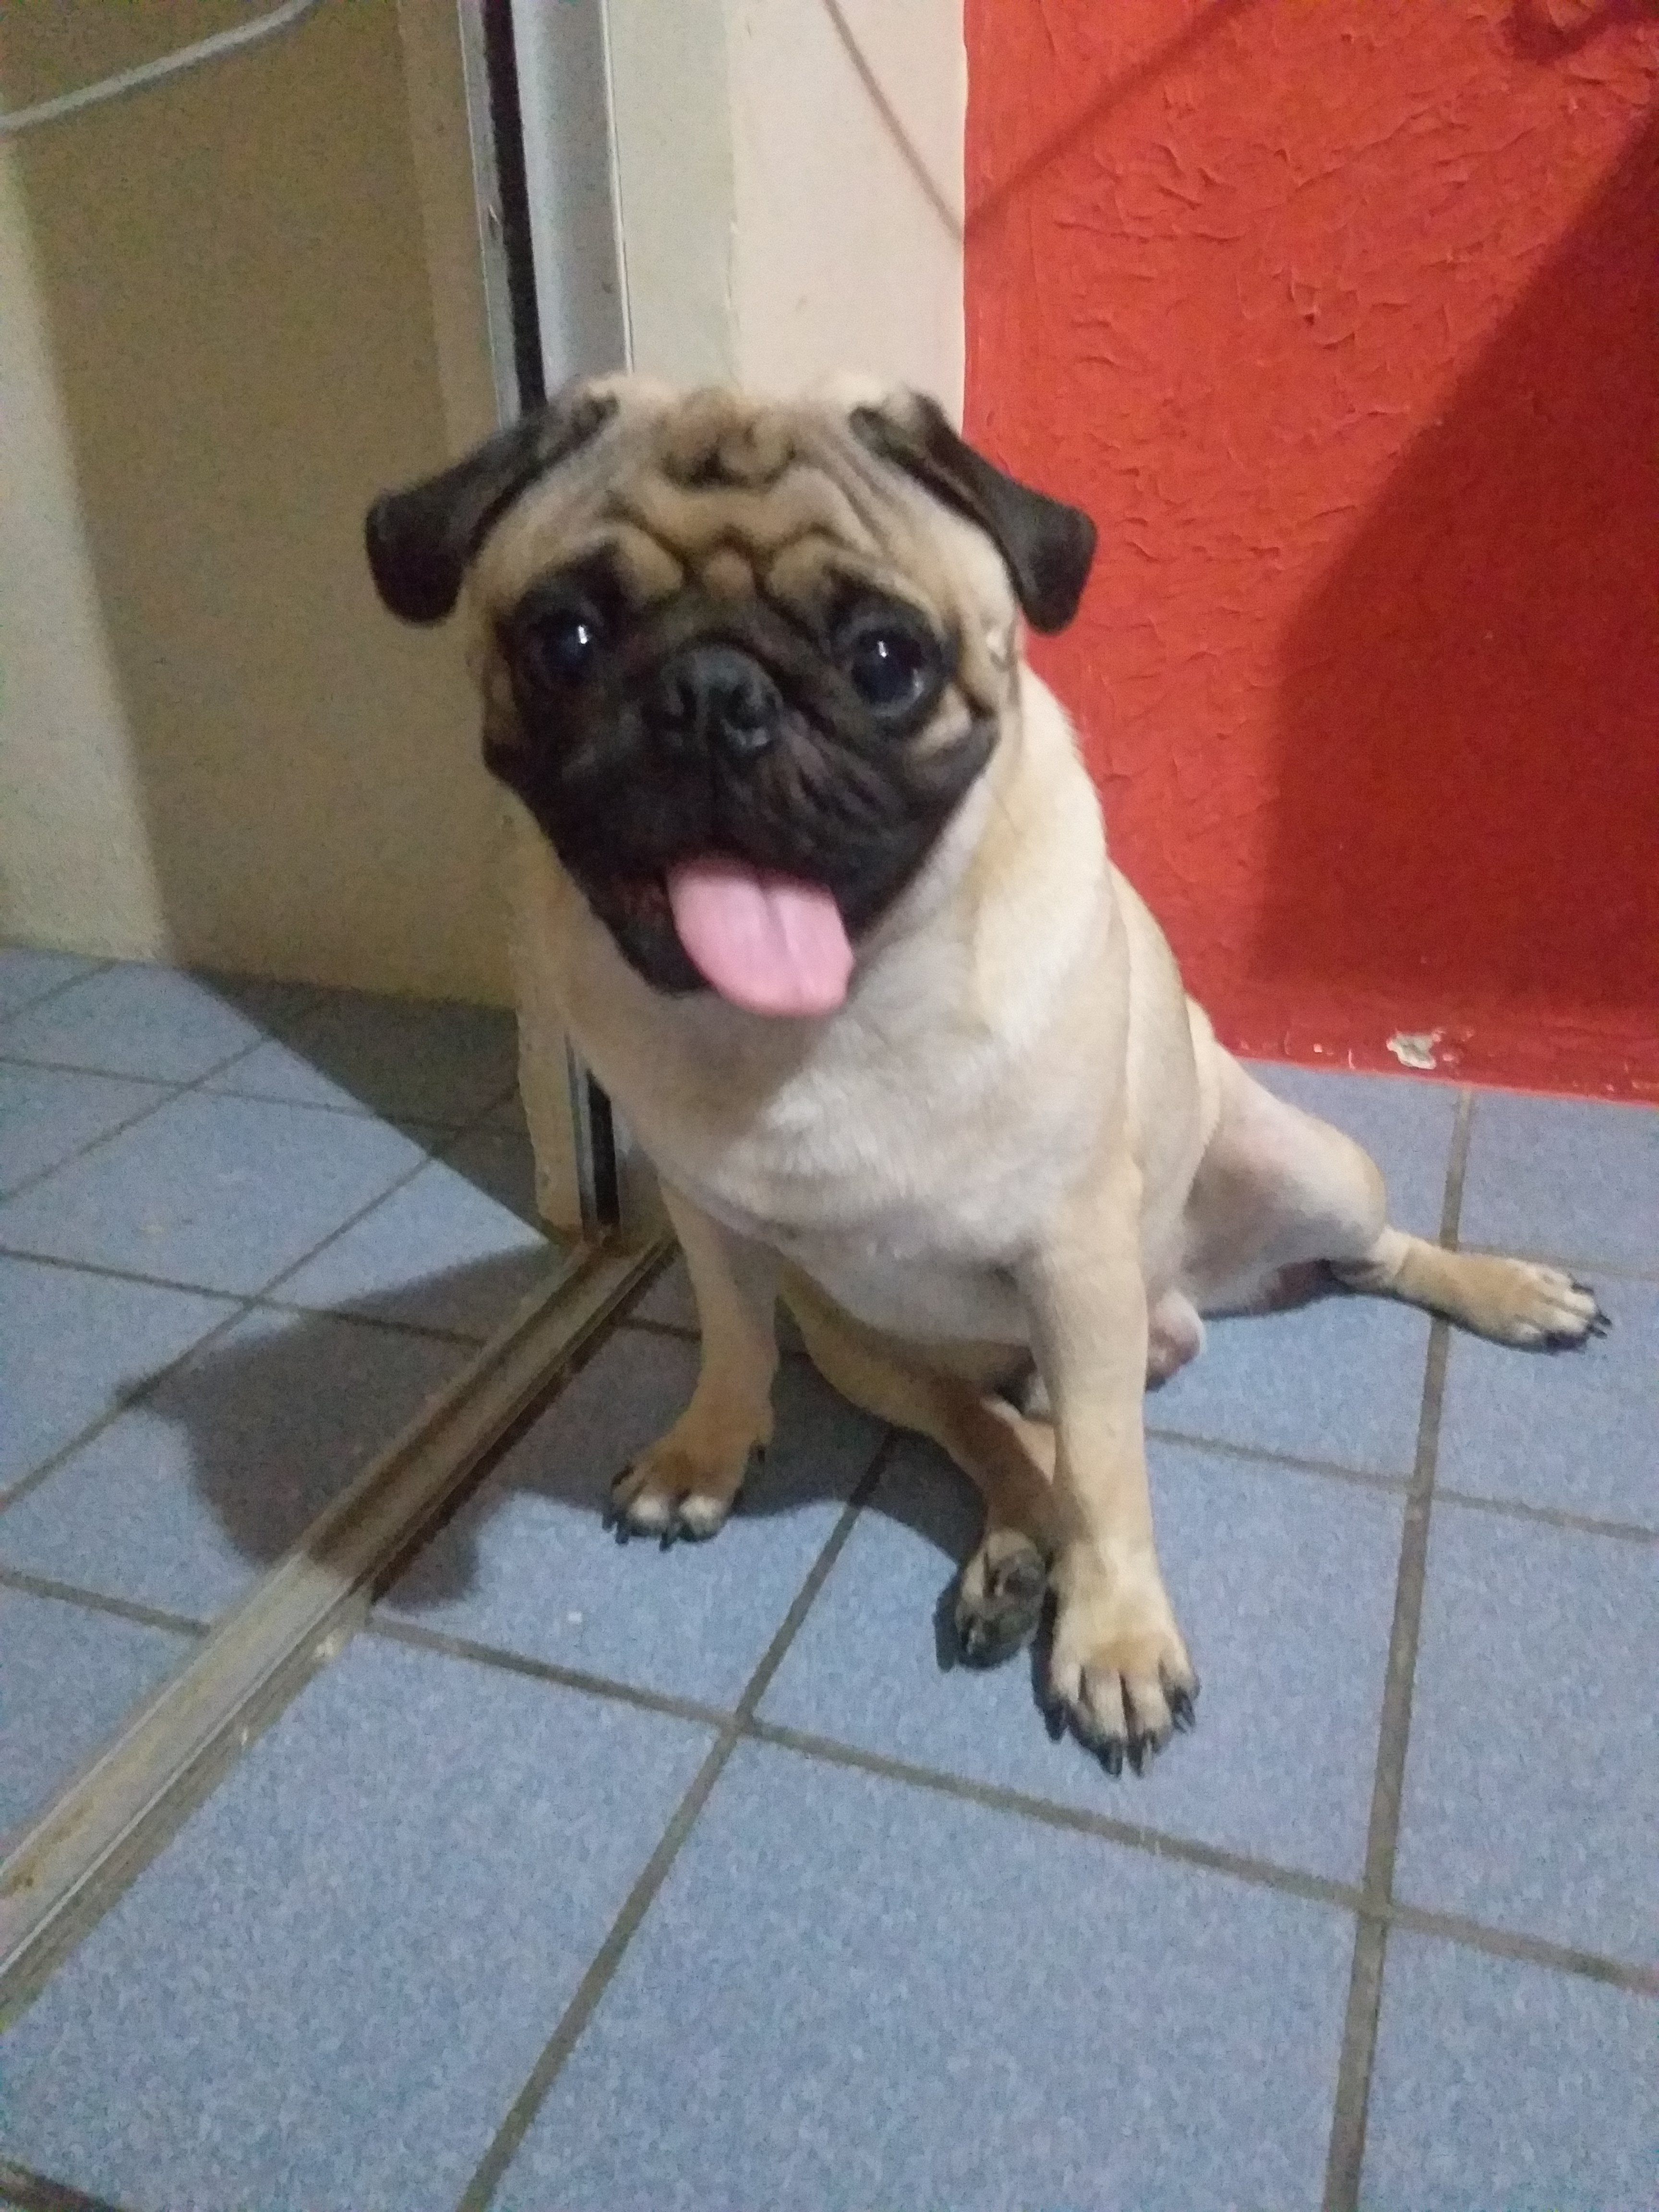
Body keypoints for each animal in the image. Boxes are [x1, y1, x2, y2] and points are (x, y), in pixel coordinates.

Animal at [366, 377, 1605, 1775]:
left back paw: (1505, 1293)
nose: (712, 692)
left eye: (885, 662)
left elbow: (1114, 1482)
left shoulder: (1073, 1260)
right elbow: (734, 1347)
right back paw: (1015, 1554)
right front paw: (706, 1453)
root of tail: (1191, 1304)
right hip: (869, 1351)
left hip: (1301, 1180)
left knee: (1362, 1260)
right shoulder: (713, 1225)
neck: (810, 1022)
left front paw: (1114, 1638)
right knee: (1011, 1439)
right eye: (567, 639)